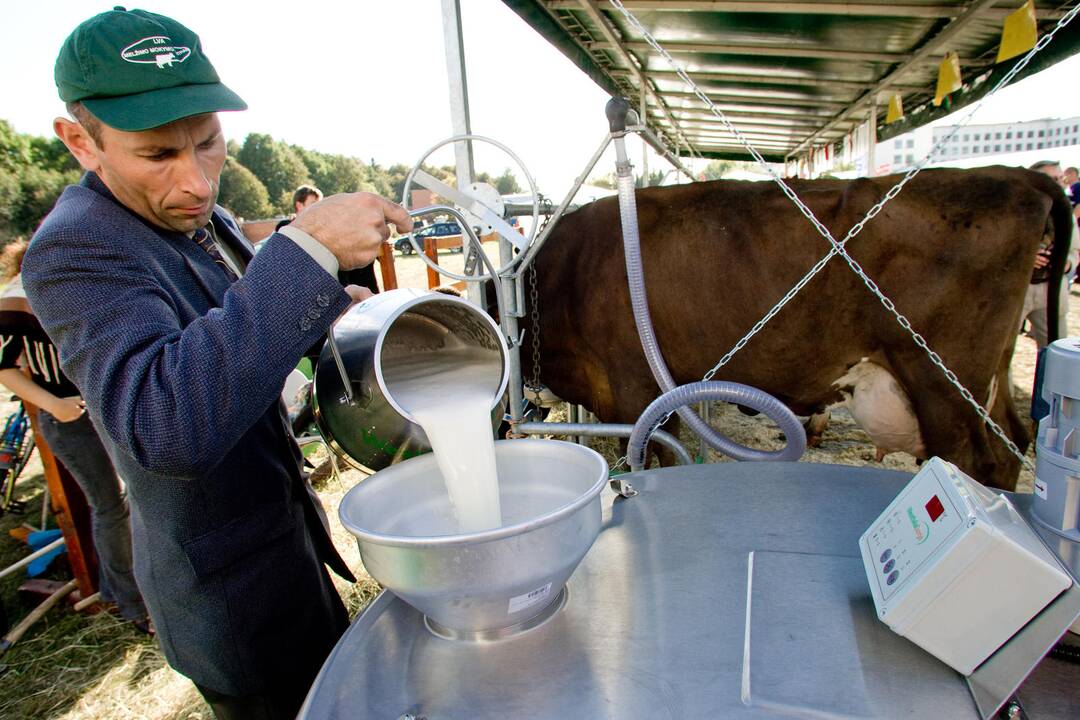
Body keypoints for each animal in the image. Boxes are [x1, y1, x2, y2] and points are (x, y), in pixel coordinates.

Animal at [522, 167, 1071, 492]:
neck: (563, 273)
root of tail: (1014, 173)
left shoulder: (636, 391)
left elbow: (654, 457)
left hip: (944, 383)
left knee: (976, 462)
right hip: (987, 380)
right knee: (1011, 443)